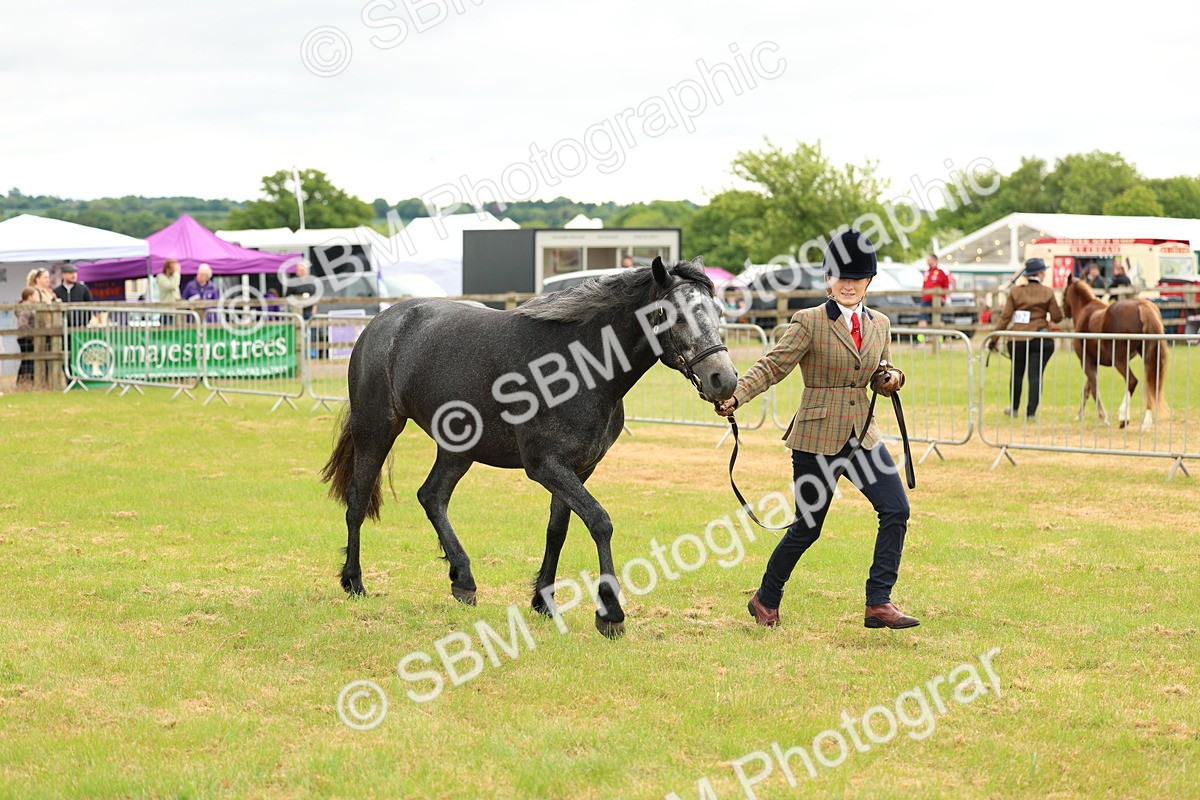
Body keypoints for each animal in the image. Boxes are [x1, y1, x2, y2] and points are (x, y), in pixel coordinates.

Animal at [320, 257, 737, 637]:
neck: (577, 366)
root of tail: (382, 323)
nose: (724, 379)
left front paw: (544, 602)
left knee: (432, 496)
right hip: (376, 429)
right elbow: (599, 521)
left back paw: (463, 579)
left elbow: (558, 529)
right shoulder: (546, 466)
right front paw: (610, 613)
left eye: (718, 311)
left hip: (457, 449)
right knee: (358, 499)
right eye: (675, 315)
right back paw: (354, 582)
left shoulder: (578, 468)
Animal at [1061, 275, 1169, 431]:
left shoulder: (1086, 361)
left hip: (1119, 361)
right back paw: (1146, 423)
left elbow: (1094, 389)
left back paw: (1123, 417)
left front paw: (1103, 418)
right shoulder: (1094, 363)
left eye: (1064, 293)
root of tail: (1142, 306)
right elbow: (1087, 389)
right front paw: (1079, 416)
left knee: (1132, 381)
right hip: (1149, 358)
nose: (1064, 312)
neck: (1086, 310)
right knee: (1151, 385)